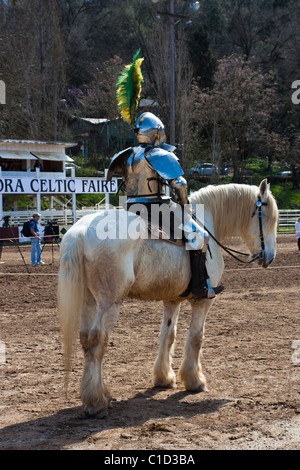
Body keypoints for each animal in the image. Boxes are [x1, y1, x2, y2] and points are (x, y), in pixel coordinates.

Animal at [58, 178, 278, 416]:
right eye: (268, 217)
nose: (270, 257)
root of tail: (81, 231)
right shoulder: (204, 301)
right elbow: (196, 337)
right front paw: (194, 380)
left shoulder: (172, 300)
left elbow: (168, 335)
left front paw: (164, 378)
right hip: (109, 304)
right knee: (97, 340)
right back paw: (96, 402)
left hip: (89, 301)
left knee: (86, 340)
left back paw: (101, 394)